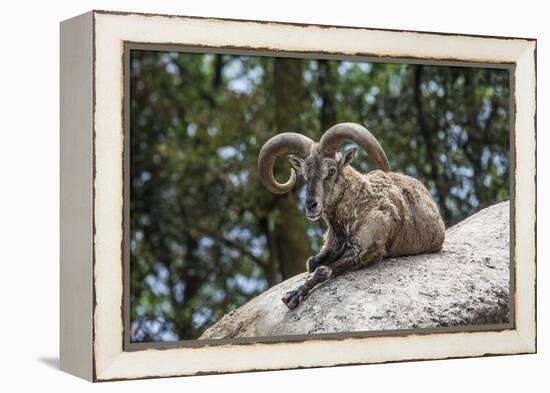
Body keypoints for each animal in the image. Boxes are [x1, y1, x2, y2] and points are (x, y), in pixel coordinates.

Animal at [260, 122, 448, 310]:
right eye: (304, 176)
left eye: (332, 171)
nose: (311, 205)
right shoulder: (331, 248)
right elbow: (312, 263)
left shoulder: (366, 251)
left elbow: (322, 270)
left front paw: (293, 295)